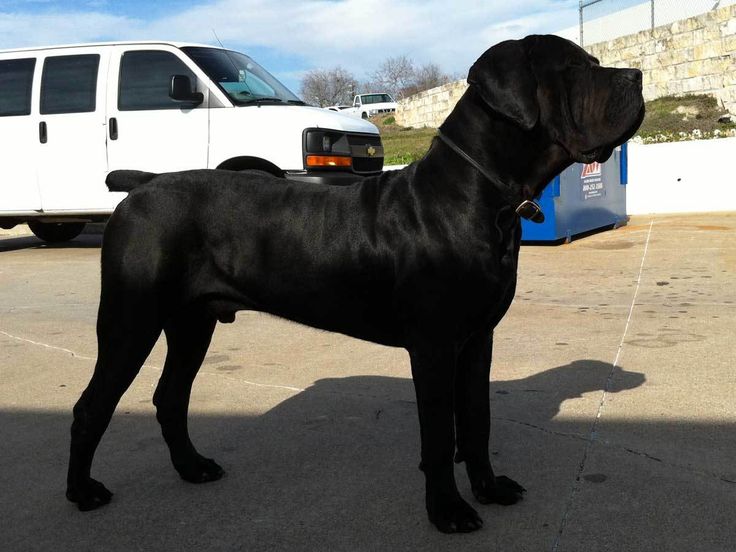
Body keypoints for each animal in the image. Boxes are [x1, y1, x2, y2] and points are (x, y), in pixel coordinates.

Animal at [69, 33, 644, 532]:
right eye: (573, 70)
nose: (636, 75)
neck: (480, 196)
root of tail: (143, 184)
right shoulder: (434, 346)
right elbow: (440, 434)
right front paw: (448, 511)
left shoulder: (477, 339)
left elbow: (476, 421)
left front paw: (489, 488)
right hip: (131, 319)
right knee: (91, 405)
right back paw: (82, 492)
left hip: (193, 322)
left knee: (170, 397)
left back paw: (193, 468)